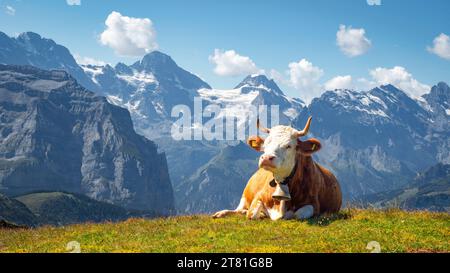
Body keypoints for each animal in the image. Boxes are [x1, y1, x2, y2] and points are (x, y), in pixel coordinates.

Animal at [211, 116, 342, 219]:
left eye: (289, 146)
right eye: (265, 143)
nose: (266, 158)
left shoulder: (314, 204)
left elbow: (296, 215)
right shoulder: (258, 196)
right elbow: (252, 214)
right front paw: (260, 213)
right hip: (244, 197)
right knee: (238, 210)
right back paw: (221, 213)